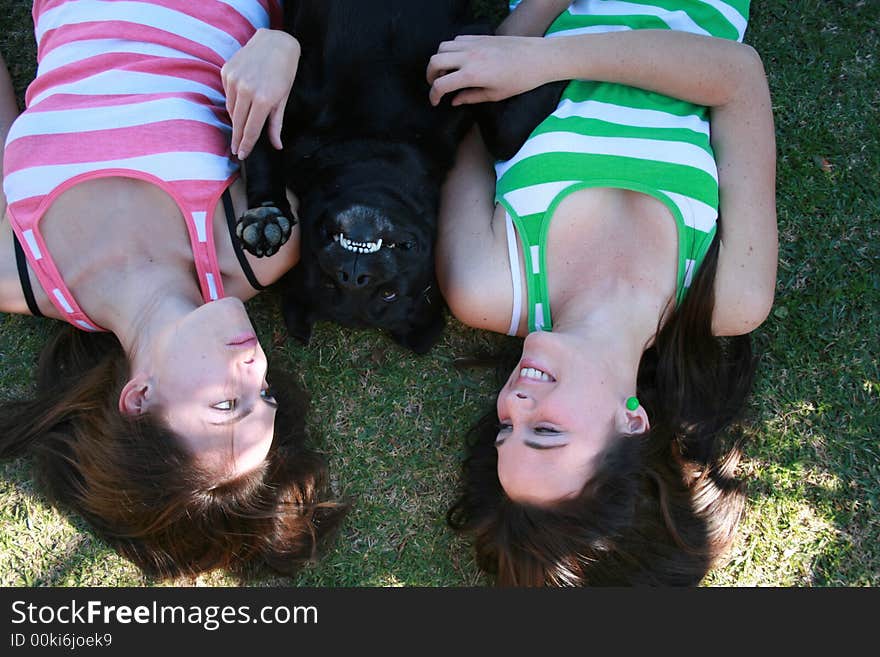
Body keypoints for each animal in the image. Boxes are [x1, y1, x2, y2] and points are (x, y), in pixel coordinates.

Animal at [239, 0, 564, 354]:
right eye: (329, 283)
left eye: (388, 294)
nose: (354, 274)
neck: (375, 142)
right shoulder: (284, 102)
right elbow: (256, 146)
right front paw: (266, 215)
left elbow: (502, 133)